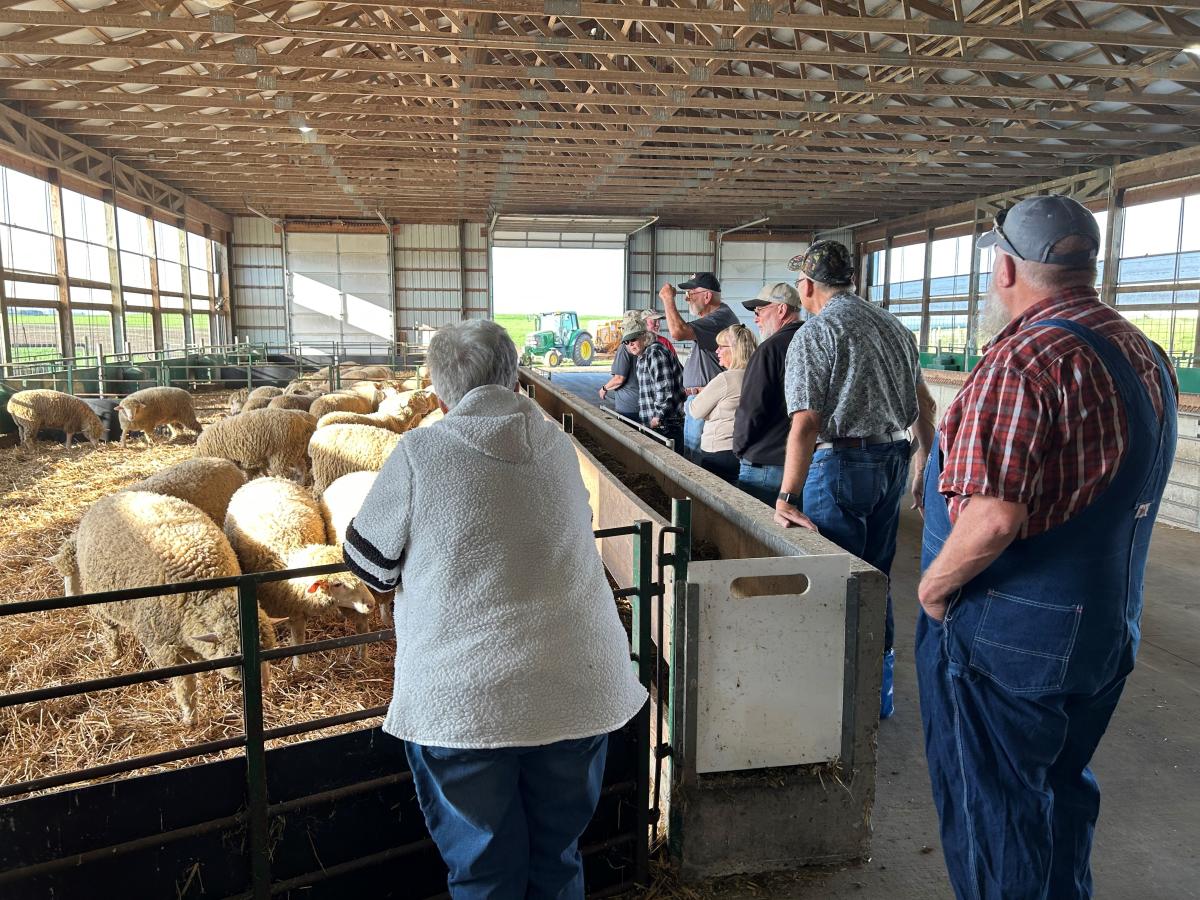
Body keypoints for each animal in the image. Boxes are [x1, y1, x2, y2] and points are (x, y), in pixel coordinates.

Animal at [71, 491, 276, 725]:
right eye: (235, 655)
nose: (265, 685)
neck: (206, 589)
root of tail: (109, 498)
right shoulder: (165, 649)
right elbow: (184, 686)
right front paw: (189, 716)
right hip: (100, 602)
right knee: (110, 629)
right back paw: (115, 653)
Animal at [224, 477, 375, 664]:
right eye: (337, 584)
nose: (370, 604)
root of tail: (264, 478)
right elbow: (297, 640)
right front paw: (298, 667)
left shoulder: (297, 607)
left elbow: (298, 640)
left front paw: (298, 667)